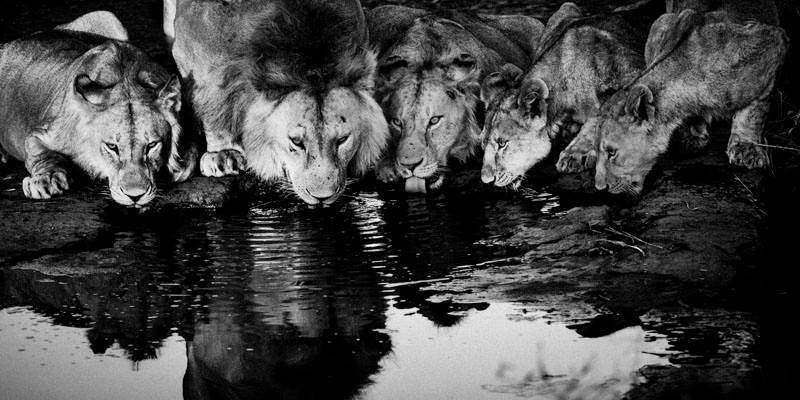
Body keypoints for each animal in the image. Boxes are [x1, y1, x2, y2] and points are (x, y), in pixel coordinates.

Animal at [0, 11, 193, 206]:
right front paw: (48, 179)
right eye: (112, 147)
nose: (135, 196)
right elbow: (44, 155)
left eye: (152, 145)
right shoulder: (40, 135)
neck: (125, 79)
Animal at [165, 0, 388, 206]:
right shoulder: (192, 51)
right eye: (296, 141)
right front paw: (222, 156)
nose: (323, 197)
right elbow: (211, 104)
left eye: (342, 139)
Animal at [478, 3, 645, 188]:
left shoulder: (634, 73)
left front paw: (575, 153)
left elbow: (603, 113)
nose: (486, 181)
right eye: (482, 144)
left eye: (502, 143)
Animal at [592, 3, 788, 196]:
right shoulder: (662, 24)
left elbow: (756, 108)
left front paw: (746, 149)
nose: (600, 188)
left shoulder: (773, 40)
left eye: (611, 152)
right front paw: (693, 132)